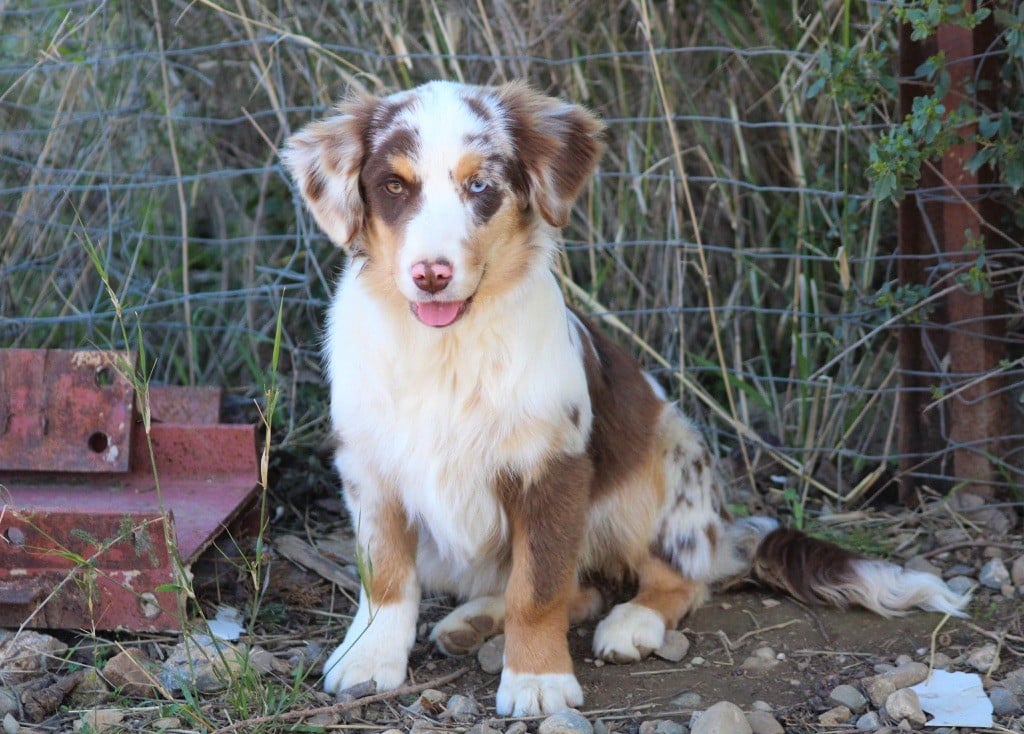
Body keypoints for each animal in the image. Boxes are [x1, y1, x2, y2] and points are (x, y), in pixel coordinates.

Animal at [282, 80, 969, 717]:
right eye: (393, 187)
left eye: (481, 187)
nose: (431, 274)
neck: (446, 349)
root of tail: (722, 530)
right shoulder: (368, 467)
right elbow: (386, 577)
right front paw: (370, 659)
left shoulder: (553, 467)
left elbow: (540, 586)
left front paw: (537, 682)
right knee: (578, 587)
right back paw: (472, 620)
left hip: (668, 458)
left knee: (672, 579)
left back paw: (632, 623)